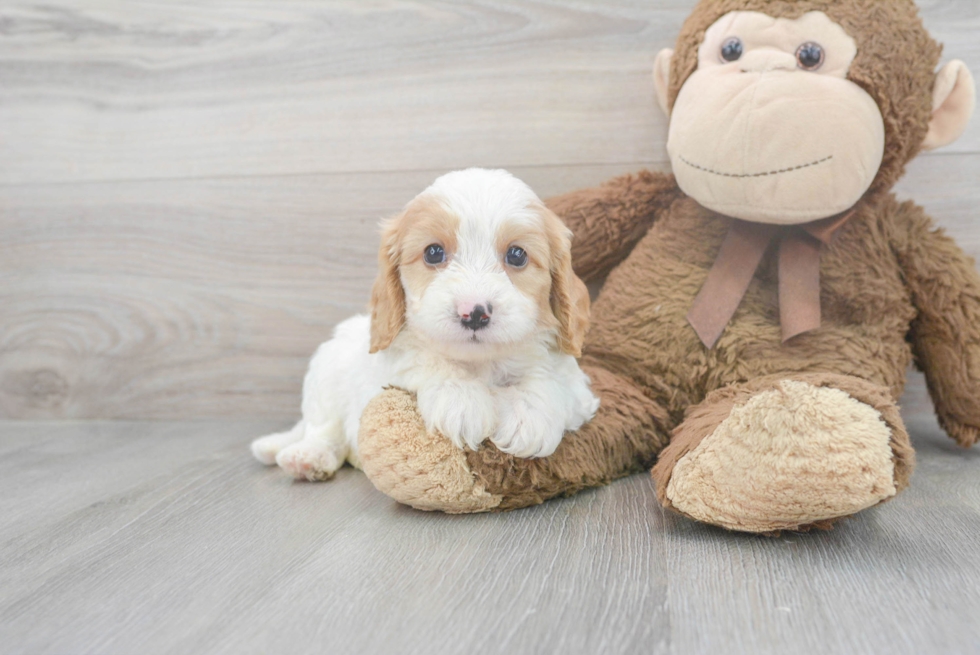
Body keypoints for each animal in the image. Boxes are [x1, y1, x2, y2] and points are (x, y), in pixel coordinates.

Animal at [251, 169, 596, 482]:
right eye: (433, 252)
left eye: (517, 255)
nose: (474, 313)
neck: (480, 364)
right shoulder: (393, 360)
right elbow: (425, 359)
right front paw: (461, 400)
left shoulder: (578, 390)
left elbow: (548, 378)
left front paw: (528, 415)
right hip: (325, 374)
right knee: (324, 428)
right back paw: (309, 457)